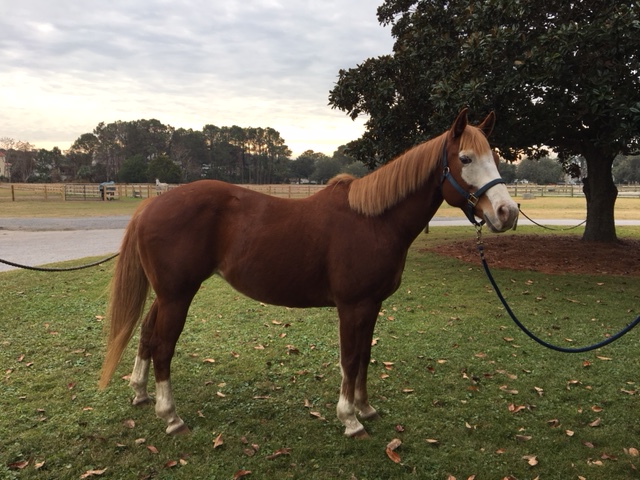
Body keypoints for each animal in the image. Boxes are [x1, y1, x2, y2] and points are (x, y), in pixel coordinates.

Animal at [99, 109, 519, 437]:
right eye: (465, 158)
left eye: (495, 157)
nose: (506, 212)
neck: (374, 221)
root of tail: (150, 206)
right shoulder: (352, 306)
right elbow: (350, 359)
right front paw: (349, 419)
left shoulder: (372, 306)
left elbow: (364, 356)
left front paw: (365, 408)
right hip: (177, 296)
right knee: (163, 346)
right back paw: (171, 416)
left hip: (167, 294)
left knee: (147, 333)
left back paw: (140, 392)